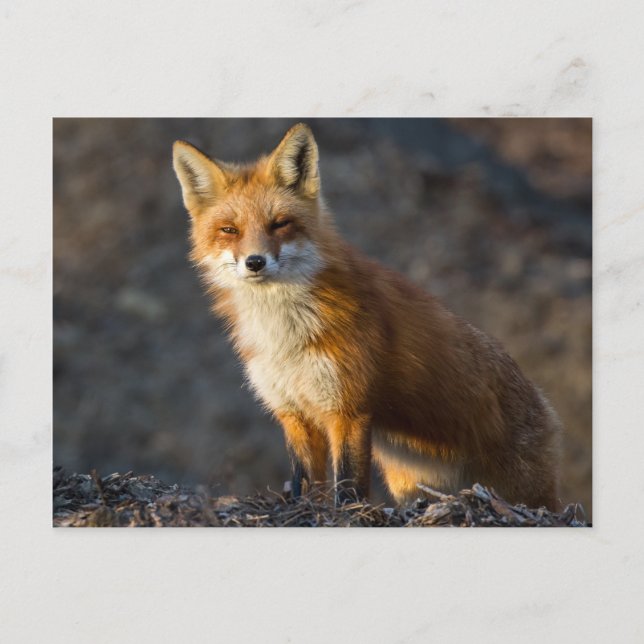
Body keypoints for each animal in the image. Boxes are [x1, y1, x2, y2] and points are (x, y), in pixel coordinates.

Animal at [172, 123, 562, 509]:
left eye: (280, 224)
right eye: (229, 230)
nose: (255, 262)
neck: (285, 334)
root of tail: (544, 404)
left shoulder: (348, 409)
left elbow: (348, 487)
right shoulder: (293, 412)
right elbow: (304, 485)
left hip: (525, 491)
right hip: (411, 482)